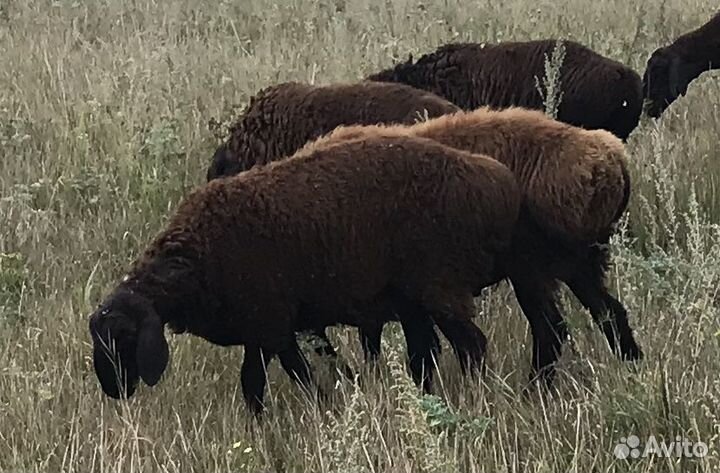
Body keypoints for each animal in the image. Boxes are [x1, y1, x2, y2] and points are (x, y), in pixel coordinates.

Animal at [90, 134, 520, 412]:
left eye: (123, 336)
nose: (111, 390)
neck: (195, 256)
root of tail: (491, 178)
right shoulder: (267, 330)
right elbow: (270, 379)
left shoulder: (271, 325)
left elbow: (280, 378)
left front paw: (314, 410)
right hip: (417, 299)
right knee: (429, 354)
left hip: (440, 288)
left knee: (473, 347)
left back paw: (478, 396)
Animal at [306, 104, 644, 384]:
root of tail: (608, 158)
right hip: (577, 265)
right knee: (609, 313)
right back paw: (632, 366)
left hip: (532, 269)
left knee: (551, 330)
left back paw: (533, 388)